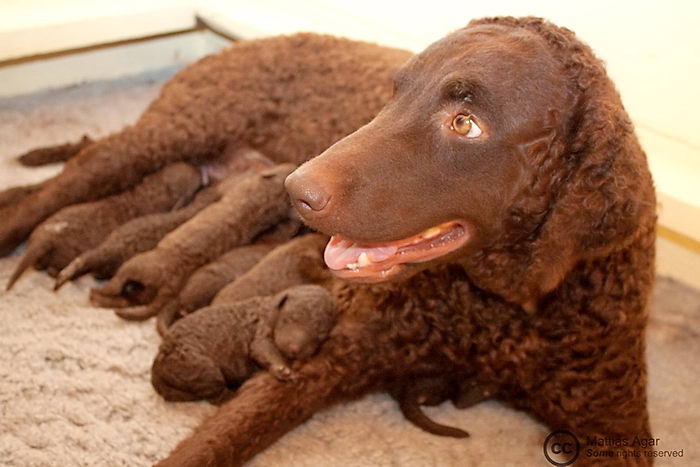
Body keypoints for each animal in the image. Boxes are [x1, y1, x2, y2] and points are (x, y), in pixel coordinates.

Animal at [152, 284, 338, 404]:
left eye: (320, 336)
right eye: (290, 318)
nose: (295, 349)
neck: (271, 309)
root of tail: (158, 362)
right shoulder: (261, 331)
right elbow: (262, 348)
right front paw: (283, 370)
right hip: (198, 366)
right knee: (214, 394)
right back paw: (233, 394)